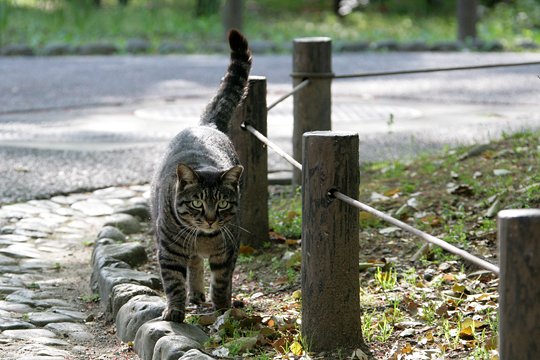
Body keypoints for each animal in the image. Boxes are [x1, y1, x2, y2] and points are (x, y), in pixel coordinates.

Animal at [151, 29, 252, 322]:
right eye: (197, 202)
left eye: (222, 203)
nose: (209, 219)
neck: (205, 238)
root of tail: (206, 125)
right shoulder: (169, 251)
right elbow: (174, 283)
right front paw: (175, 311)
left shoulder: (228, 251)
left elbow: (221, 282)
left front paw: (222, 310)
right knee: (194, 263)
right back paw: (194, 293)